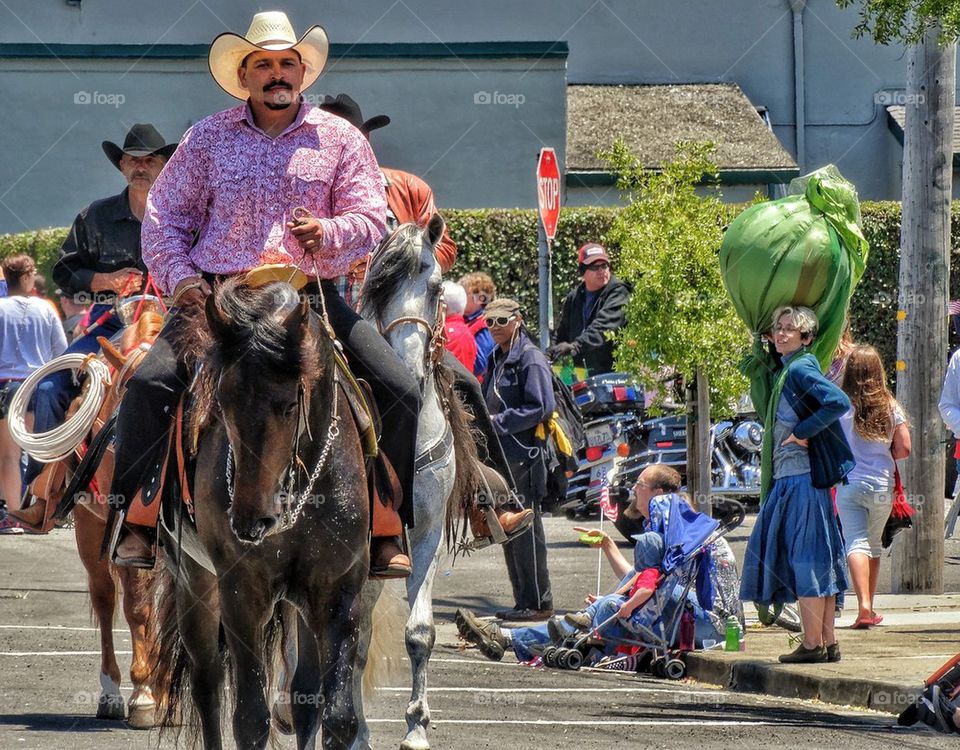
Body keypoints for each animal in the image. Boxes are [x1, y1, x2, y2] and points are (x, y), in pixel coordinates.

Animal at [154, 280, 386, 750]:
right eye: (222, 401)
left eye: (288, 405)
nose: (249, 521)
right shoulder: (242, 593)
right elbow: (250, 718)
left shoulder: (338, 593)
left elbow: (338, 717)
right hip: (194, 579)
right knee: (208, 684)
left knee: (304, 695)